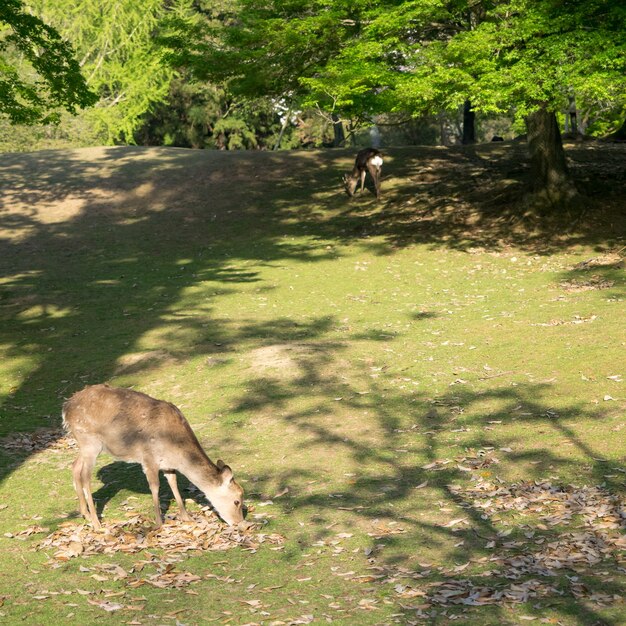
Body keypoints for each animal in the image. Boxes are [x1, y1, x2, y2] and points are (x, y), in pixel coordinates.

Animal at [62, 382, 244, 528]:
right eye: (237, 500)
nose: (239, 523)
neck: (175, 448)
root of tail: (65, 408)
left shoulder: (167, 464)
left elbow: (173, 482)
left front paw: (186, 517)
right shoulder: (149, 458)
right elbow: (155, 487)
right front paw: (158, 523)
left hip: (85, 445)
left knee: (74, 466)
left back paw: (85, 514)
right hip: (90, 441)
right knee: (85, 477)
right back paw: (96, 523)